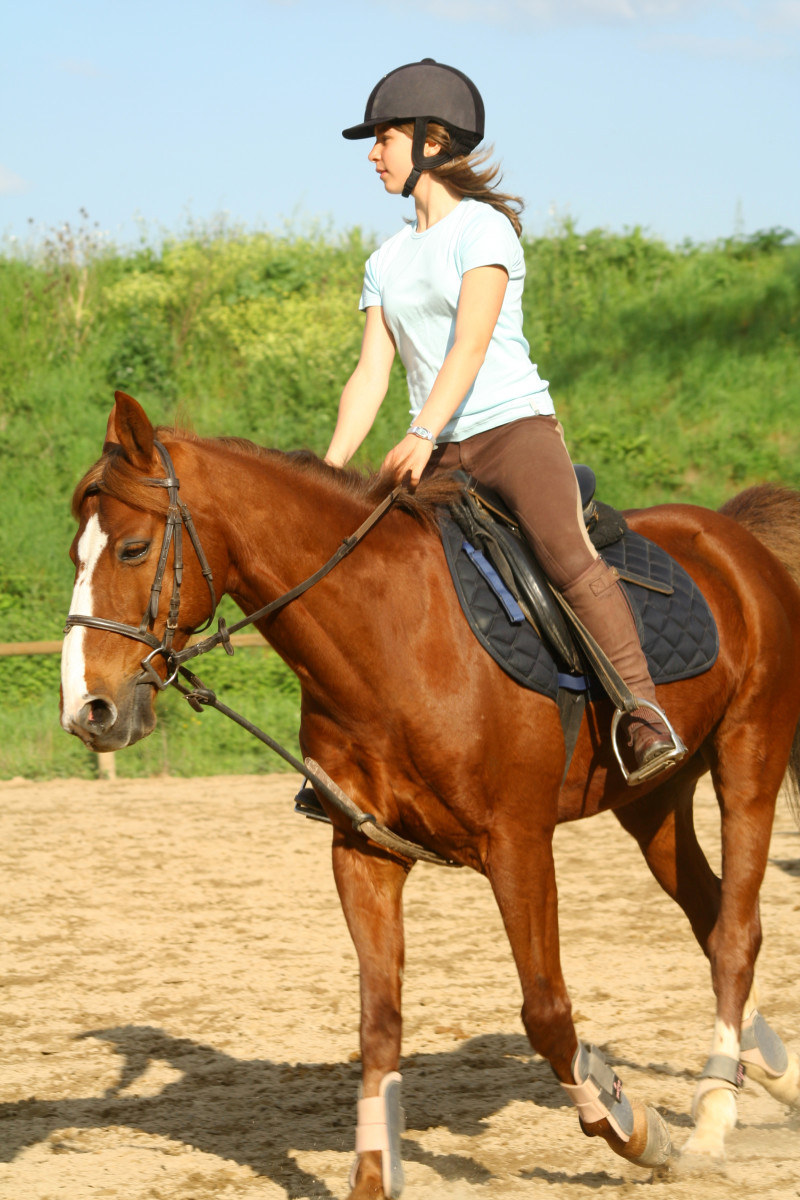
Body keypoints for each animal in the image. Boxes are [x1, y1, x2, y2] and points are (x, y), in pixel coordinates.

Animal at [61, 391, 800, 1198]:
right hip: (652, 802)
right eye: (75, 555)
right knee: (710, 913)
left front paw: (635, 1129)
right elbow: (378, 1023)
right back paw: (769, 1071)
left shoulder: (517, 844)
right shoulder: (364, 852)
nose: (88, 711)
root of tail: (734, 536)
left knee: (736, 930)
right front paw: (370, 1177)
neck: (389, 634)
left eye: (133, 550)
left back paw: (712, 1116)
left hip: (749, 757)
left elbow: (547, 1012)